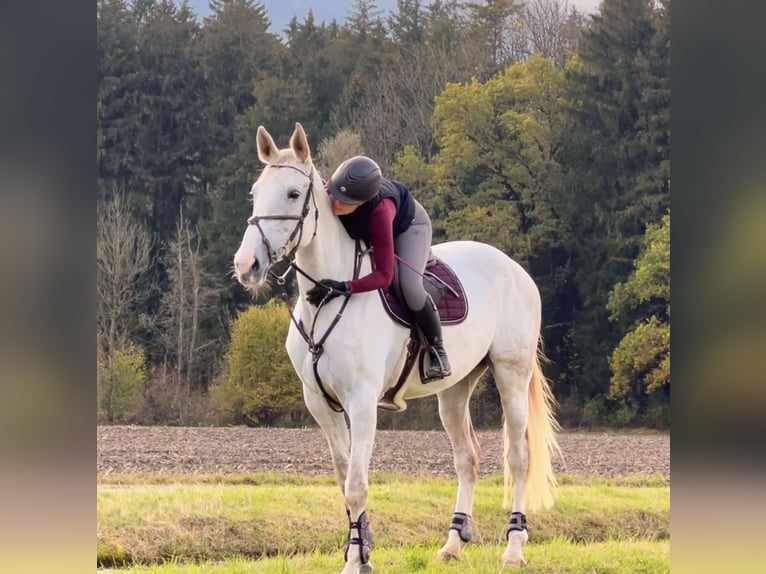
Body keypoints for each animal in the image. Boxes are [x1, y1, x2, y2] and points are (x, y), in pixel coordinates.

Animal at [231, 124, 560, 572]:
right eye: (254, 192)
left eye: (293, 194)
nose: (246, 265)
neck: (325, 299)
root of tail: (514, 267)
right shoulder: (319, 403)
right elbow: (344, 479)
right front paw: (361, 548)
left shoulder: (362, 402)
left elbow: (356, 484)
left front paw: (356, 559)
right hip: (455, 388)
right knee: (467, 457)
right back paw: (453, 544)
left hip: (512, 371)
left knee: (518, 457)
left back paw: (513, 549)